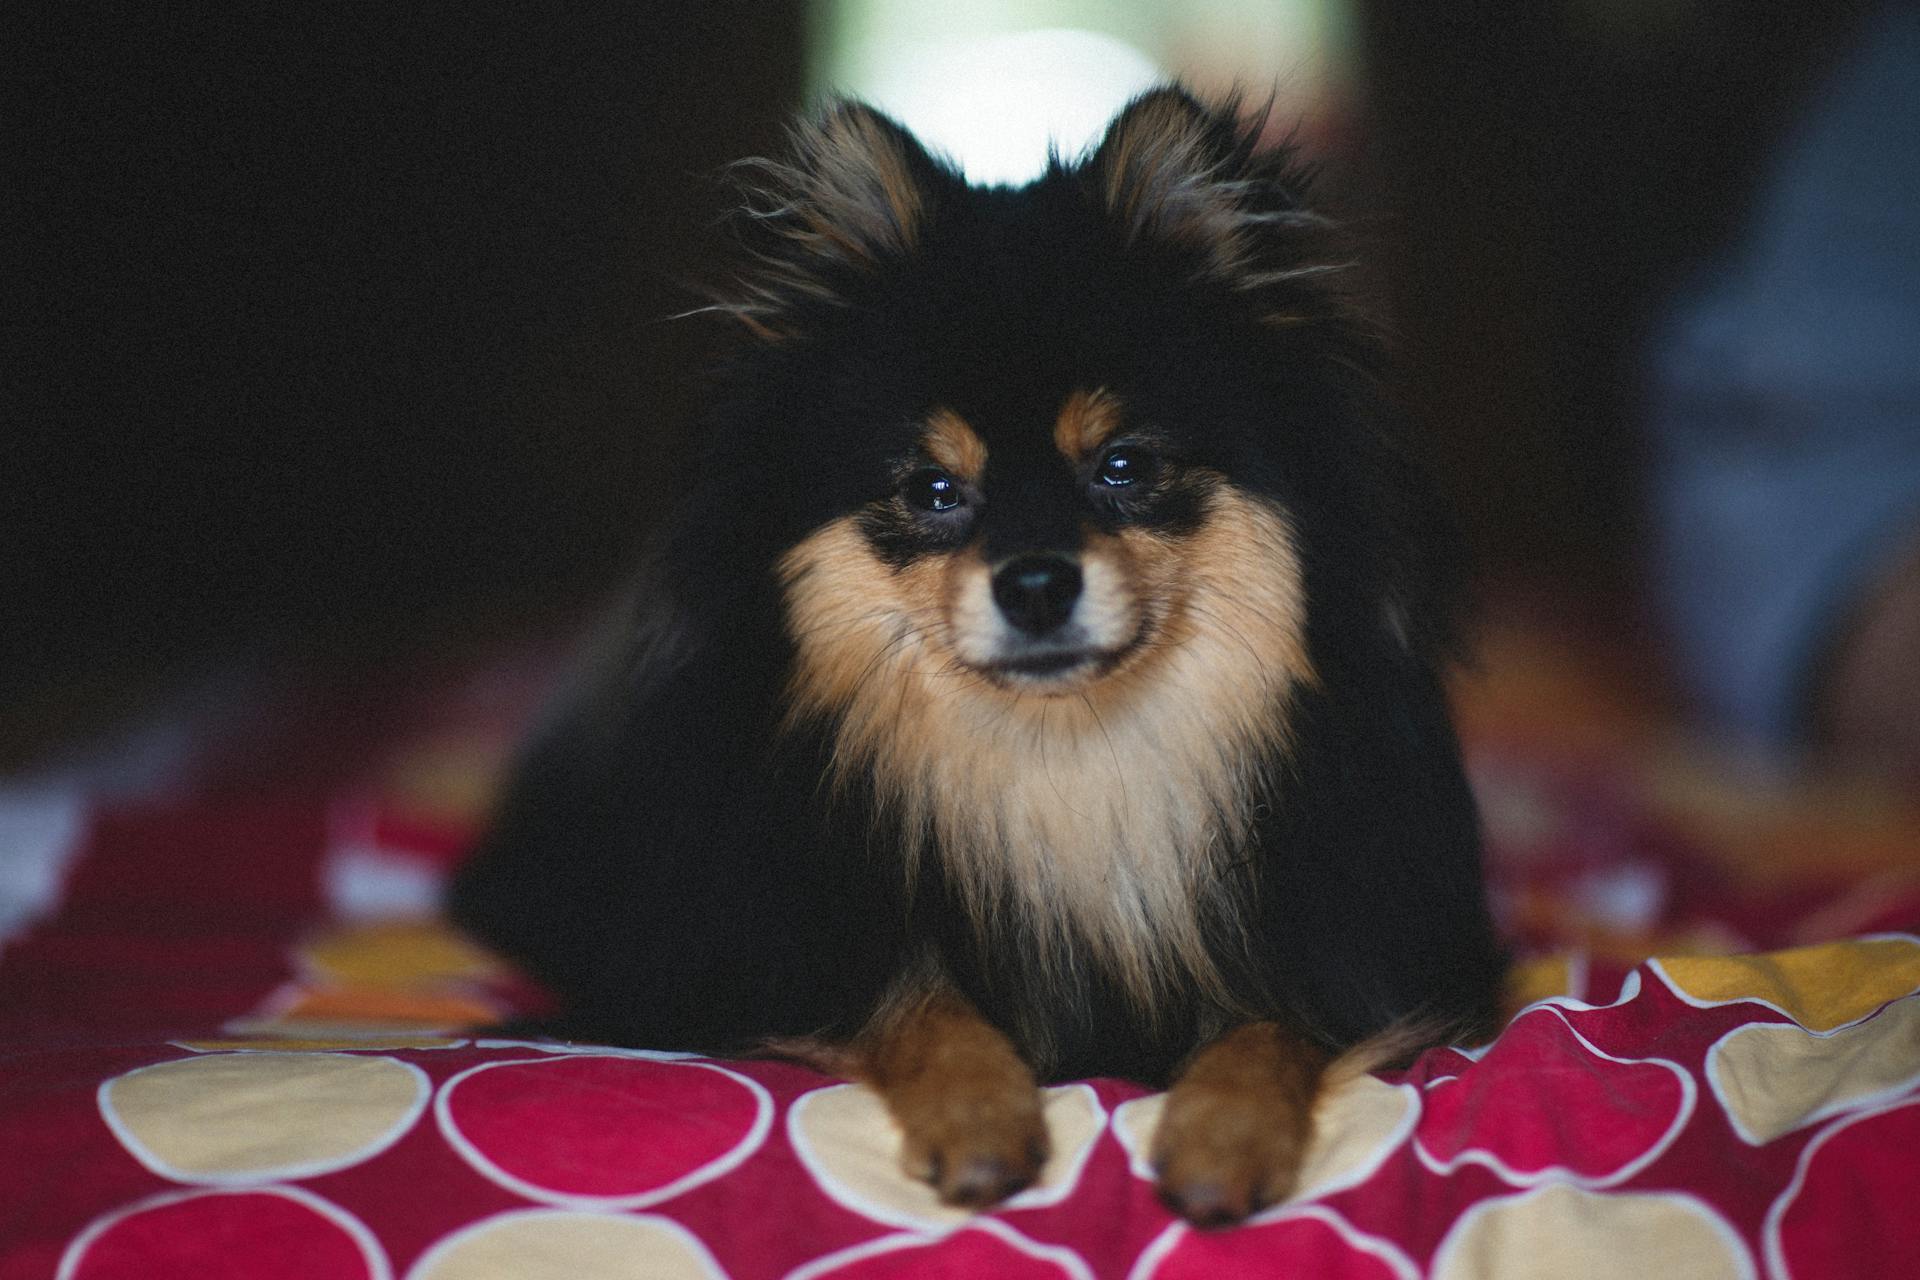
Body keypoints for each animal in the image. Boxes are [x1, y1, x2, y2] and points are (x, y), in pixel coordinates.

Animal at [445, 84, 1497, 1228]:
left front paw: (1222, 1138)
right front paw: (981, 1120)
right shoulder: (742, 957)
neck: (1063, 768)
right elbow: (918, 997)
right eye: (933, 489)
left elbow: (1272, 1022)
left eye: (1124, 466)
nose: (1035, 582)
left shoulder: (1371, 939)